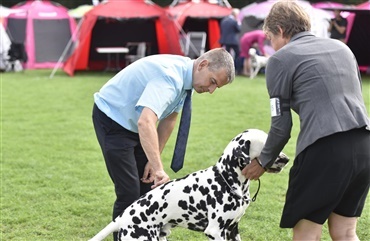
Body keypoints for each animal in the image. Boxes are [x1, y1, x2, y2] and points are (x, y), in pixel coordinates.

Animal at [87, 130, 290, 241]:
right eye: (266, 145)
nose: (287, 159)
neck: (226, 179)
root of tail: (122, 217)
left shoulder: (233, 229)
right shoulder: (215, 231)